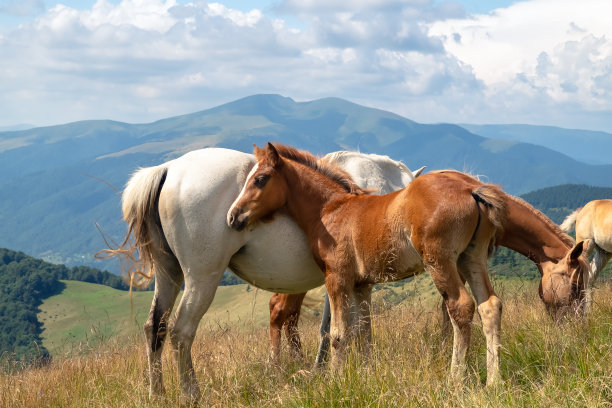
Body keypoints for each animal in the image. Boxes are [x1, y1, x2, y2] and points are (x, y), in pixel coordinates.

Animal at [106, 147, 420, 402]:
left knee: (155, 327)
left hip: (168, 273)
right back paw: (191, 393)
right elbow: (338, 329)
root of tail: (169, 169)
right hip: (202, 279)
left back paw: (157, 393)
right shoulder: (343, 281)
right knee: (180, 330)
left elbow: (352, 328)